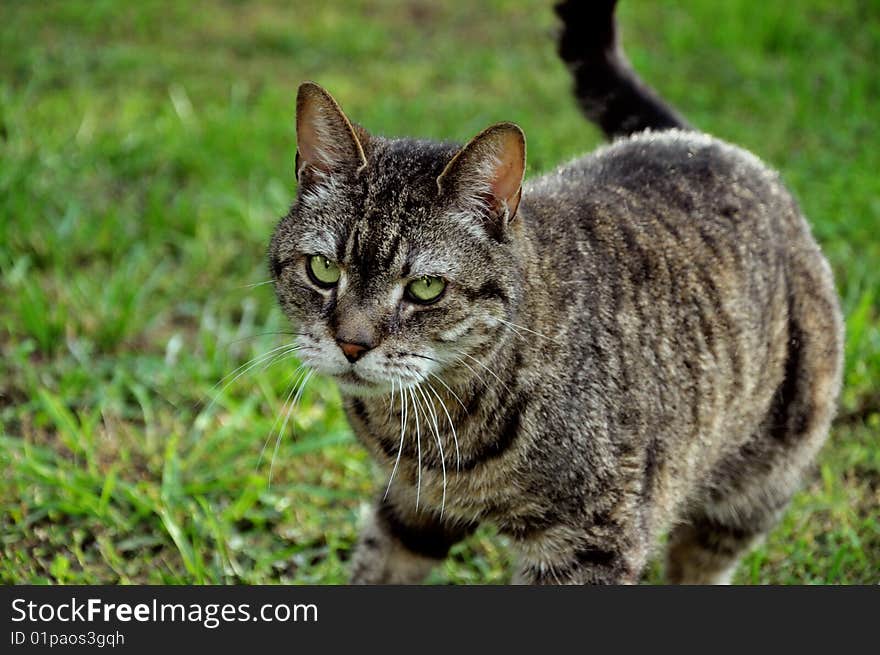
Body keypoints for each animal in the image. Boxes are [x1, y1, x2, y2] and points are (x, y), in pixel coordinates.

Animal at [270, 0, 844, 584]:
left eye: (425, 288)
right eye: (323, 269)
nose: (351, 344)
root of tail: (703, 140)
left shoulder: (591, 541)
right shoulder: (412, 508)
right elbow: (375, 566)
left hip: (758, 481)